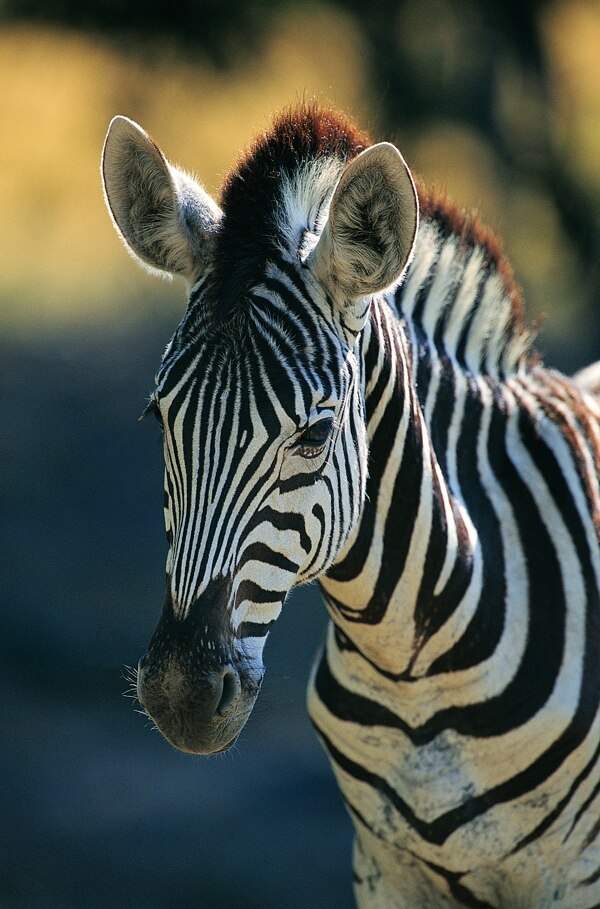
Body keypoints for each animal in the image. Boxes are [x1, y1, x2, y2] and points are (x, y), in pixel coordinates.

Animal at [102, 104, 600, 908]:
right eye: (158, 418)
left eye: (313, 434)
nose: (181, 693)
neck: (410, 663)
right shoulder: (383, 871)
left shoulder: (574, 874)